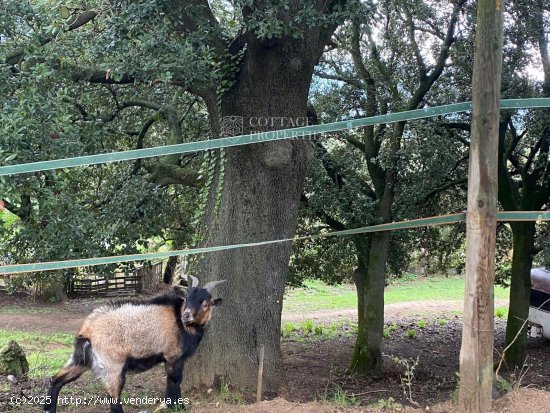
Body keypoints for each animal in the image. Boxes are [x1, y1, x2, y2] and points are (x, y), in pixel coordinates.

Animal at [43, 274, 224, 412]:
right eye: (186, 298)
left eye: (205, 303)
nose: (187, 315)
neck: (178, 320)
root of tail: (88, 330)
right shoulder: (173, 356)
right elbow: (175, 381)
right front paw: (178, 407)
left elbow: (169, 381)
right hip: (112, 366)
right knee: (113, 397)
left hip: (80, 360)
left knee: (56, 379)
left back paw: (49, 409)